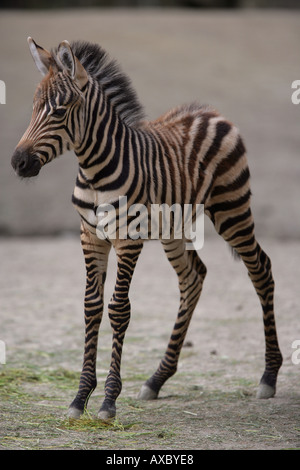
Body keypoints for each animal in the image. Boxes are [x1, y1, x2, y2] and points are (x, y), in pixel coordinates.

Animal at [10, 38, 282, 420]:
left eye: (59, 111)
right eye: (34, 108)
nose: (17, 163)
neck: (94, 171)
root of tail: (210, 111)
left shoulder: (128, 239)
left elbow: (119, 310)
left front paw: (108, 400)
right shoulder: (90, 237)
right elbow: (91, 306)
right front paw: (80, 397)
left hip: (232, 209)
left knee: (261, 270)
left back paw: (269, 375)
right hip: (174, 228)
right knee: (193, 277)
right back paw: (157, 379)